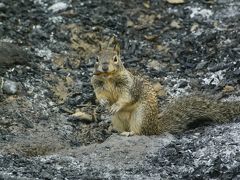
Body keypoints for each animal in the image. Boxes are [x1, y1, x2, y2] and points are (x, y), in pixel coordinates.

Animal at [90, 38, 240, 136]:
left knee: (141, 132)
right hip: (117, 119)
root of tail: (155, 127)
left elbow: (126, 97)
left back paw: (130, 133)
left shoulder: (130, 86)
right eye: (96, 59)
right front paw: (103, 103)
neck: (108, 77)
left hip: (140, 116)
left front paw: (116, 105)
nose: (104, 67)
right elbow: (99, 95)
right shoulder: (97, 85)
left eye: (115, 58)